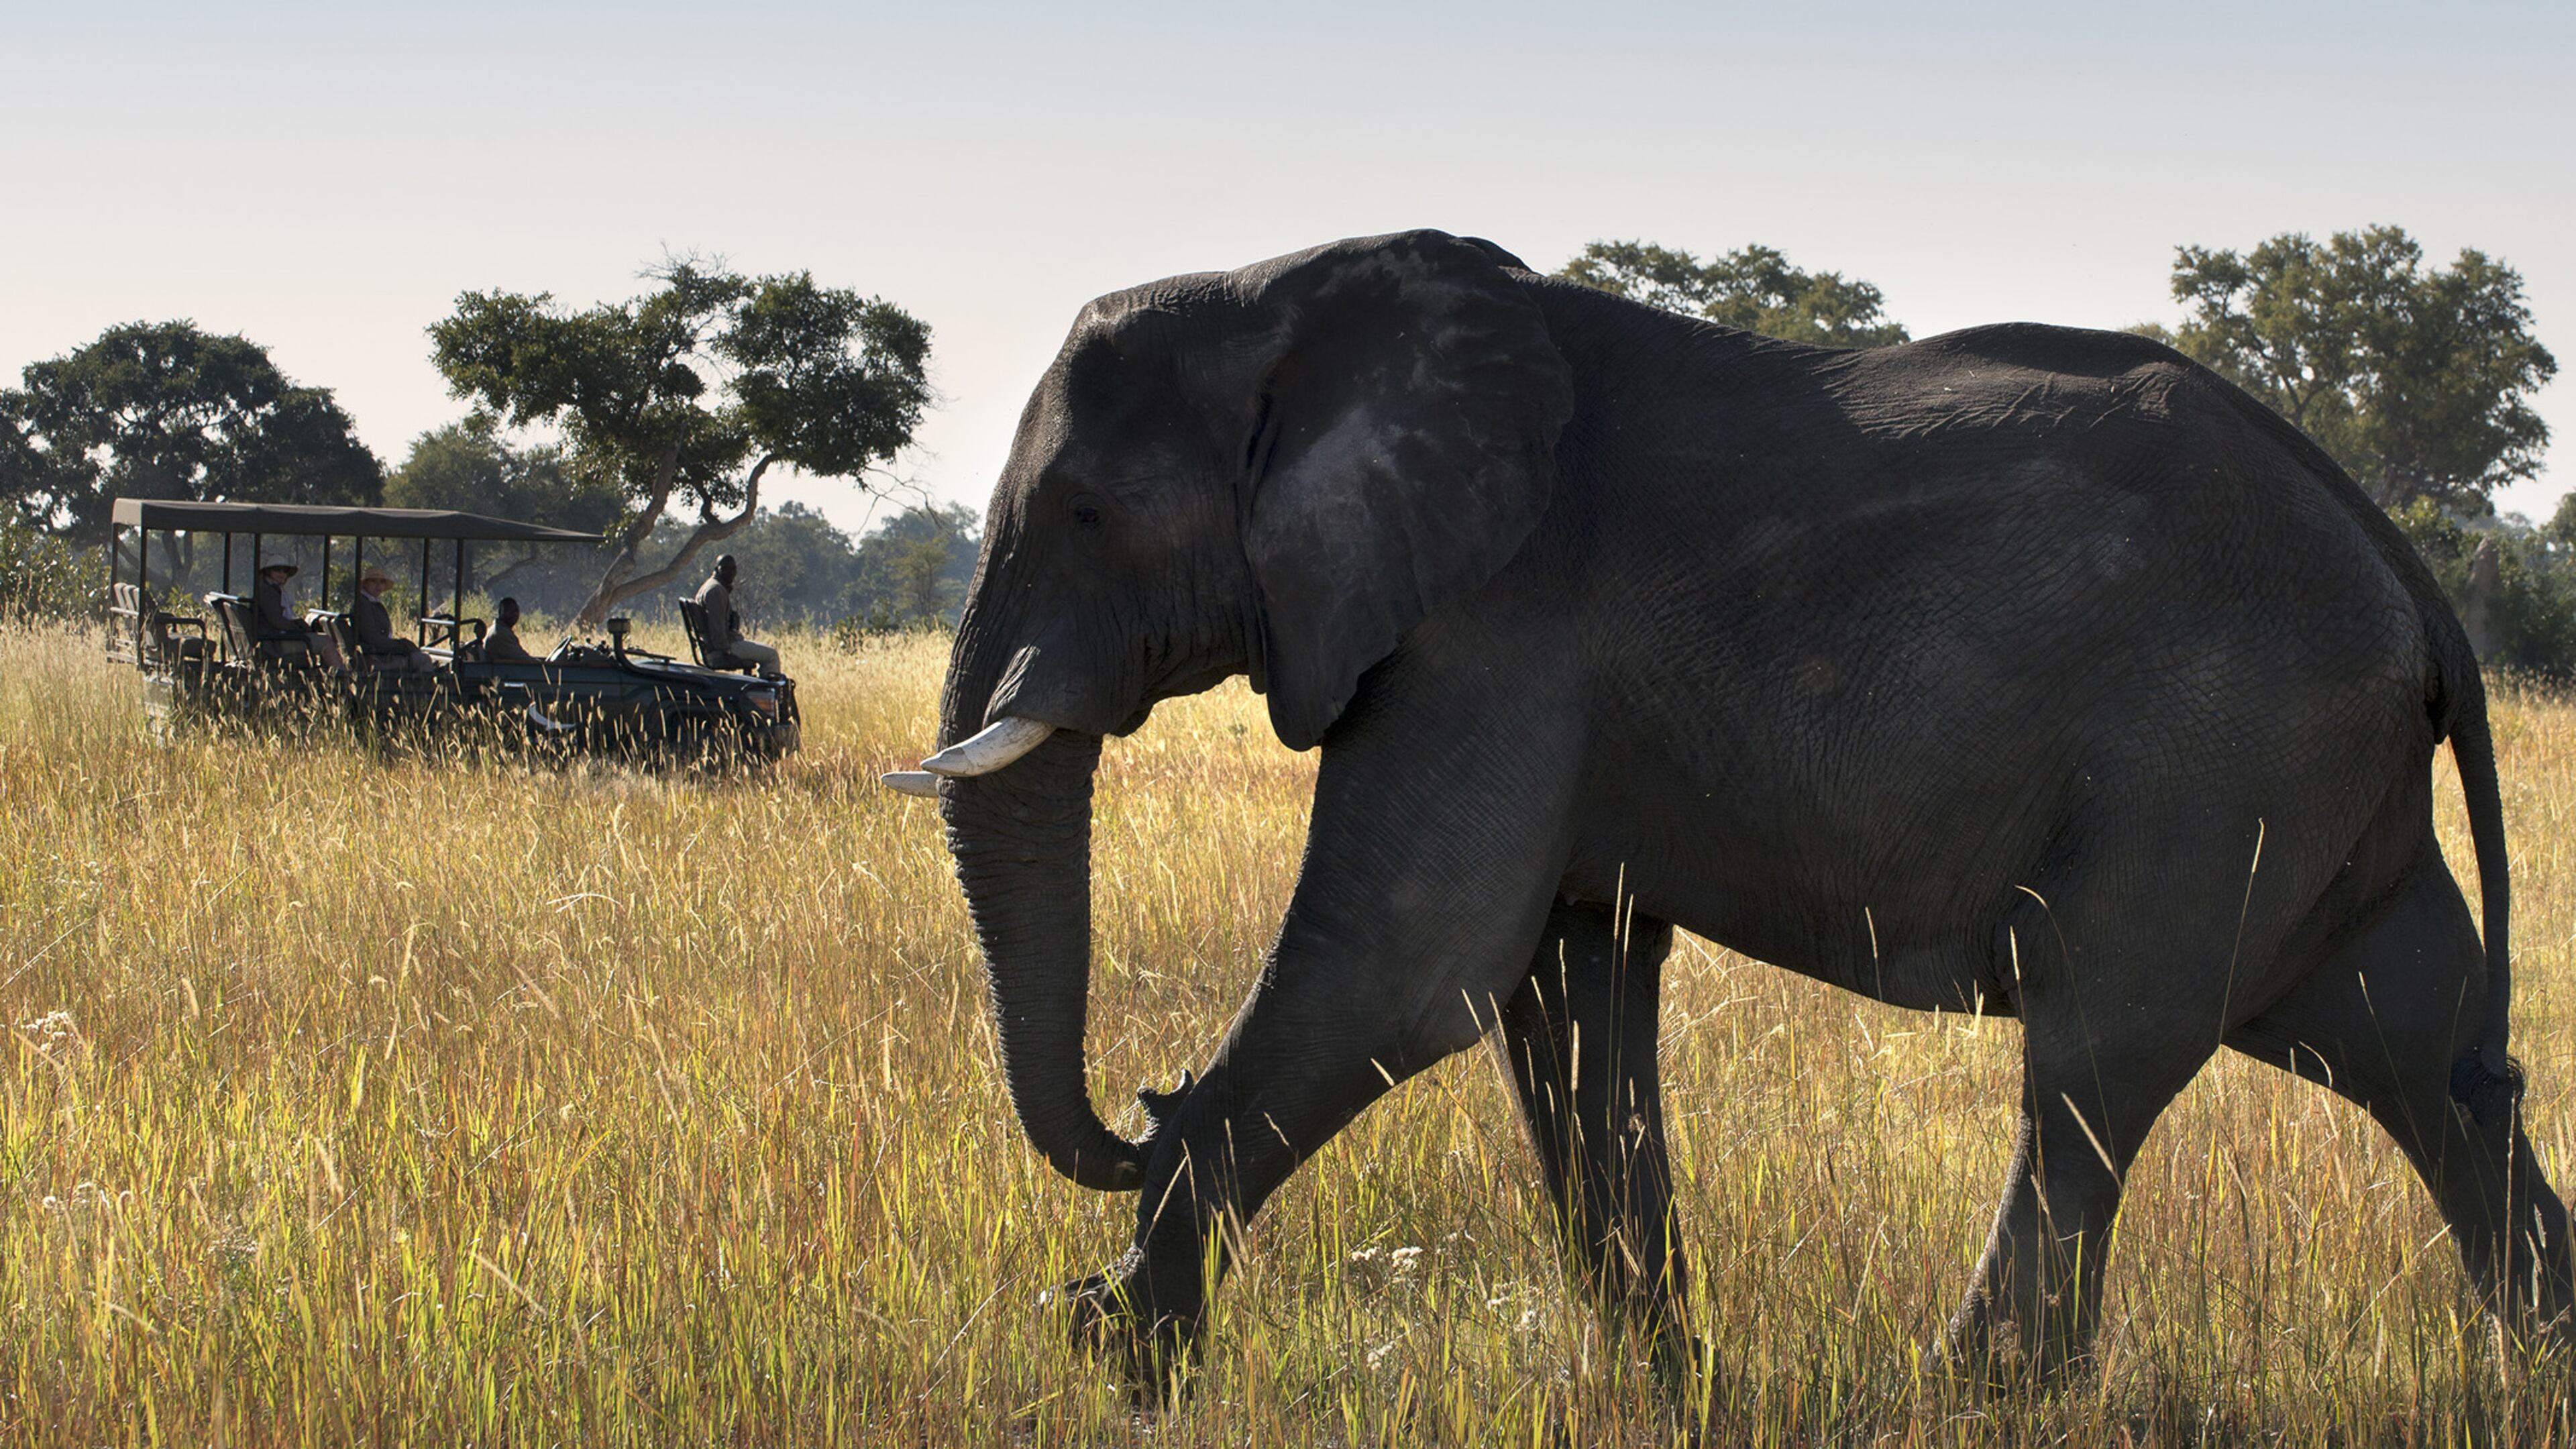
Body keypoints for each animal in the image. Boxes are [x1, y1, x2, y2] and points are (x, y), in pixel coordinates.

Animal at [883, 228, 2571, 1390]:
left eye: (1089, 514)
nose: (1130, 1108)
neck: (1289, 291)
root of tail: (2401, 561)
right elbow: (1564, 1001)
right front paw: (1670, 1383)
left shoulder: (1491, 635)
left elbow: (1404, 977)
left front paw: (1113, 1351)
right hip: (2314, 791)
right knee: (2421, 1056)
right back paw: (2536, 1366)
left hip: (2219, 761)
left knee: (2093, 1073)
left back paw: (1962, 1396)